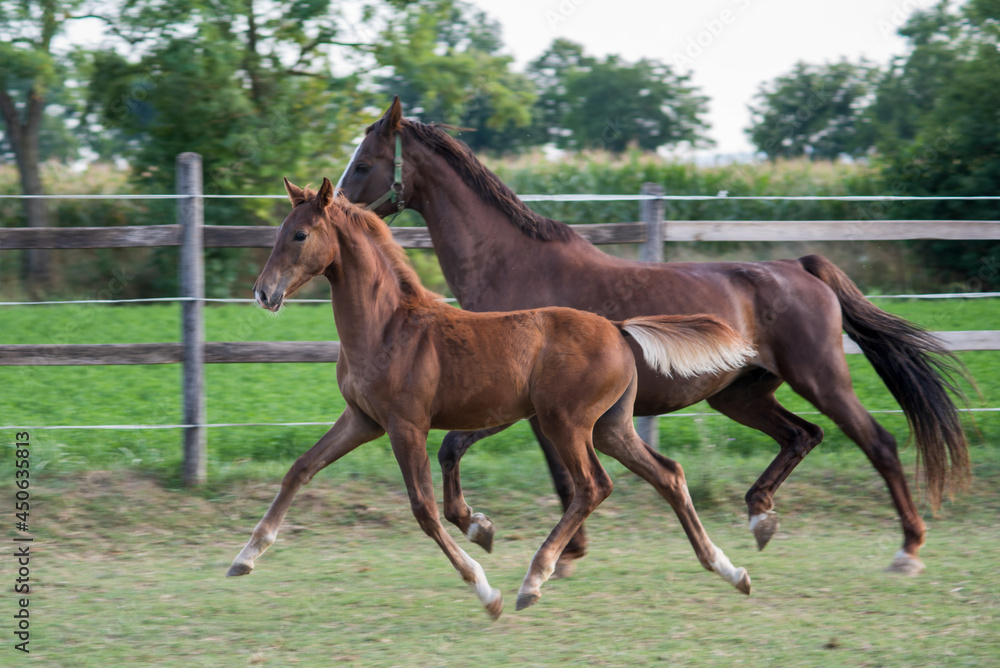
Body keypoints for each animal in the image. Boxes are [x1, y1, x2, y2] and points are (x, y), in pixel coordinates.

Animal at [227, 177, 757, 618]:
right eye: (281, 231)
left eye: (299, 235)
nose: (263, 293)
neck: (388, 326)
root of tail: (618, 327)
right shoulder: (362, 419)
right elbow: (300, 468)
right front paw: (244, 558)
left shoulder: (406, 426)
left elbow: (423, 509)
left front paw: (485, 589)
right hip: (611, 426)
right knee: (667, 474)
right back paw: (730, 570)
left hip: (565, 422)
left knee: (592, 486)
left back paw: (533, 580)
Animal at [334, 96, 971, 577]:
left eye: (364, 163)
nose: (331, 211)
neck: (515, 267)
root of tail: (800, 265)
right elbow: (485, 457)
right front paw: (512, 536)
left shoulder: (529, 406)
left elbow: (543, 471)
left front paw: (544, 549)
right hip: (741, 394)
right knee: (802, 435)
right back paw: (761, 517)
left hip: (820, 377)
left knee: (877, 442)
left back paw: (908, 549)